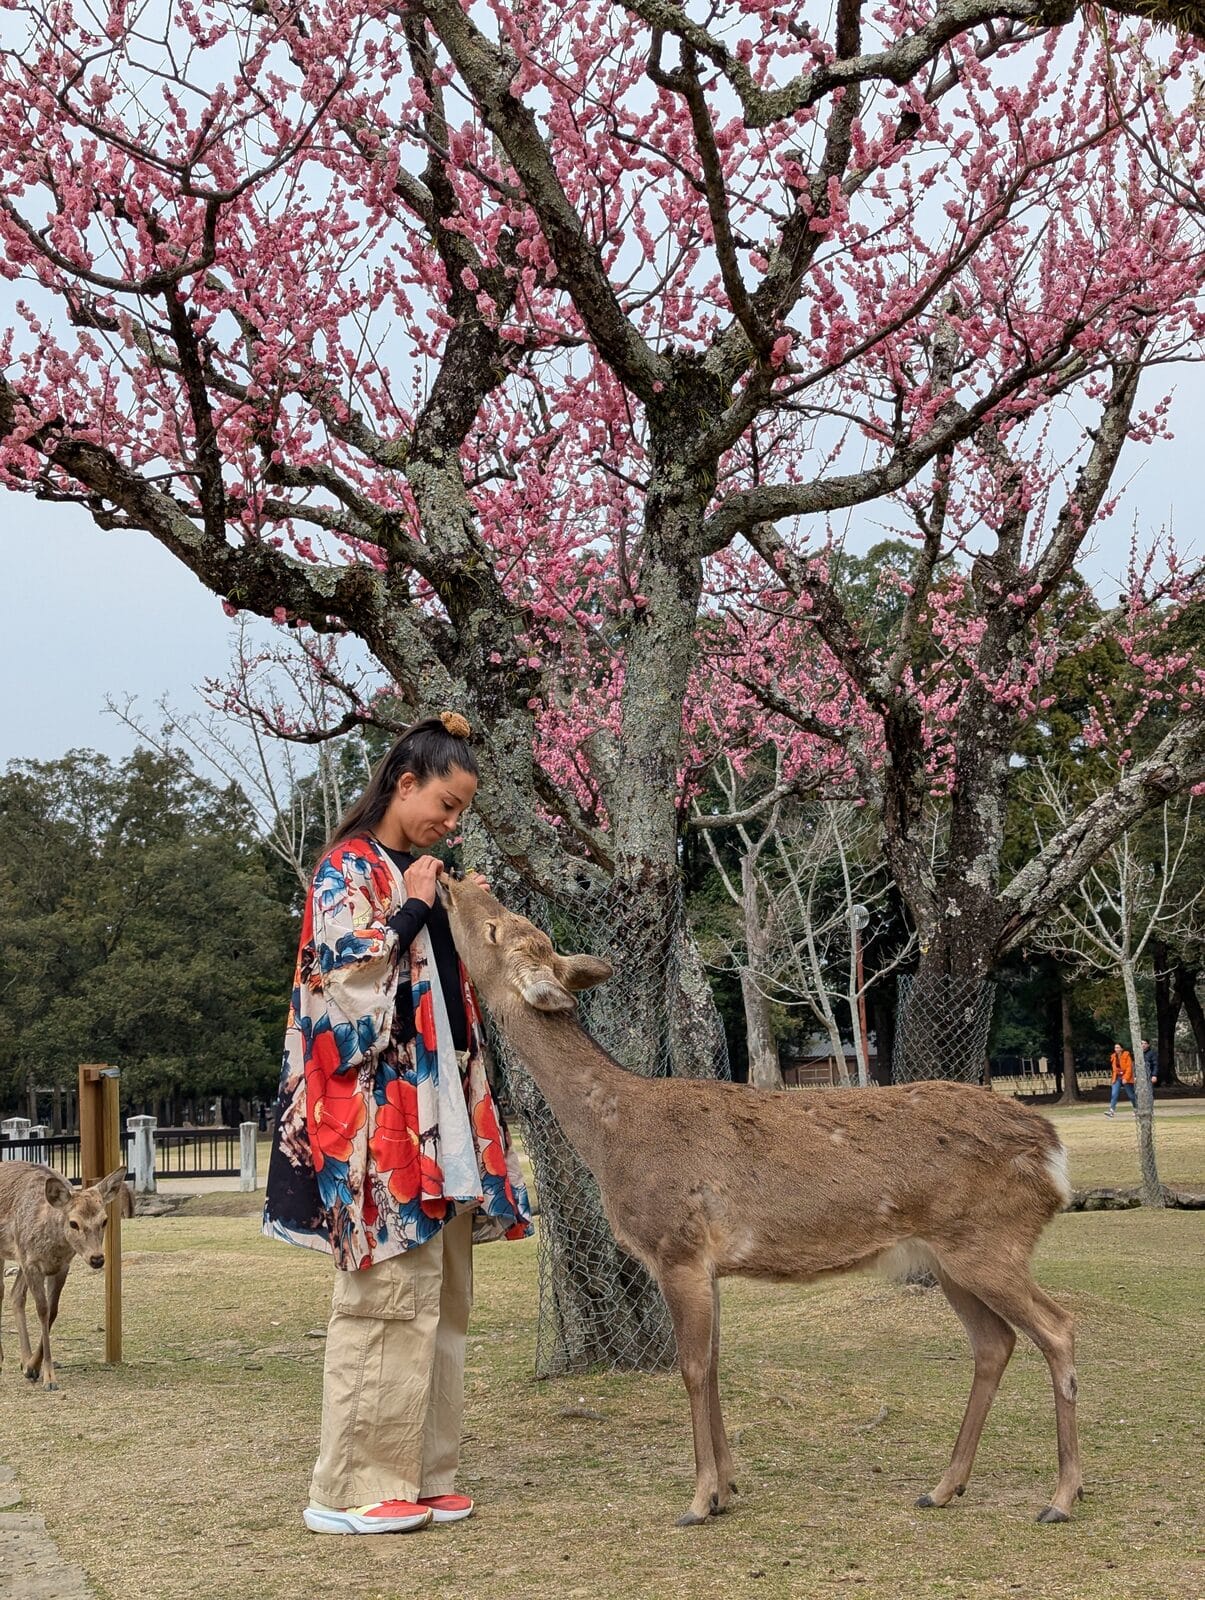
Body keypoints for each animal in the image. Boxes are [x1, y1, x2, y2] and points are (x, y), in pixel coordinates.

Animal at [0, 1161, 127, 1390]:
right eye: (73, 1223)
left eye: (104, 1220)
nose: (97, 1258)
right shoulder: (31, 1263)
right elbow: (42, 1311)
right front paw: (50, 1378)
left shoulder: (60, 1267)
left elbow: (53, 1311)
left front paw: (32, 1368)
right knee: (2, 1292)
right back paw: (2, 1358)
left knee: (16, 1295)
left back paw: (24, 1360)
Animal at [437, 875, 1083, 1528]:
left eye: (495, 927)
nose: (451, 880)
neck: (612, 1138)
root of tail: (1054, 1156)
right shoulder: (709, 1265)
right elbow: (716, 1362)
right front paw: (727, 1488)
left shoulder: (677, 1247)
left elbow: (693, 1367)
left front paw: (699, 1500)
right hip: (950, 1256)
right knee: (994, 1343)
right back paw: (945, 1486)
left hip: (989, 1241)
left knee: (1057, 1328)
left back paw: (1061, 1496)